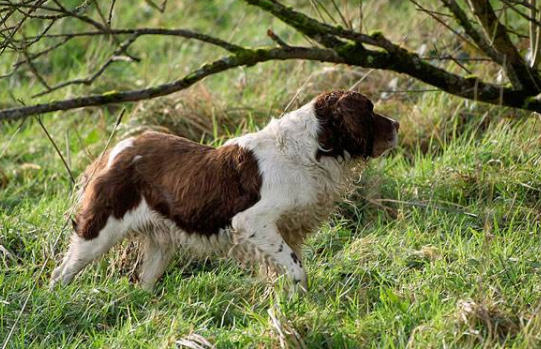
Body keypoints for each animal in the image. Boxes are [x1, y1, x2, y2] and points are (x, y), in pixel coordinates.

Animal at [49, 90, 396, 290]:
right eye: (369, 110)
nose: (397, 125)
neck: (306, 151)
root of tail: (115, 151)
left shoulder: (285, 229)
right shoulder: (253, 223)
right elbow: (297, 271)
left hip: (160, 245)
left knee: (141, 284)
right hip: (97, 232)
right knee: (61, 273)